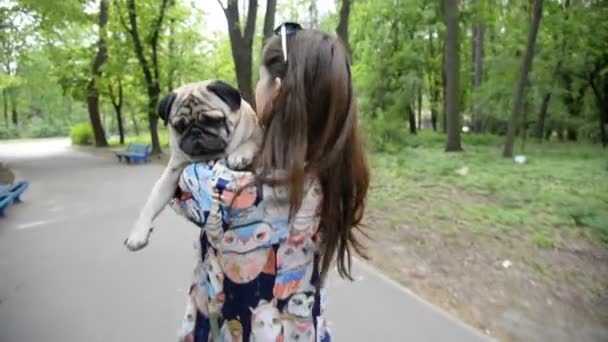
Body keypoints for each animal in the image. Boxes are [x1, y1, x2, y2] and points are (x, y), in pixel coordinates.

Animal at [126, 80, 262, 251]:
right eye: (180, 126)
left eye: (213, 120)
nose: (196, 131)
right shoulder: (172, 172)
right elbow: (151, 203)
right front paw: (138, 233)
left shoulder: (257, 134)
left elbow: (252, 141)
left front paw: (239, 154)